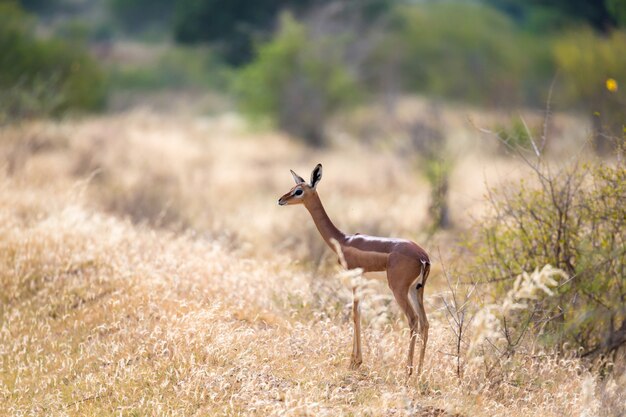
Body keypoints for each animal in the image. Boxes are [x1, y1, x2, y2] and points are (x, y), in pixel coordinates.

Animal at [278, 163, 428, 376]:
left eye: (298, 191)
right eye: (292, 187)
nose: (281, 200)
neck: (343, 240)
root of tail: (422, 256)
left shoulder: (355, 277)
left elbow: (355, 315)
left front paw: (354, 362)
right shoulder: (362, 279)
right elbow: (359, 313)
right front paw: (356, 361)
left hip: (399, 289)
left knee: (413, 320)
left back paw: (407, 372)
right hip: (417, 290)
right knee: (425, 322)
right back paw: (420, 372)